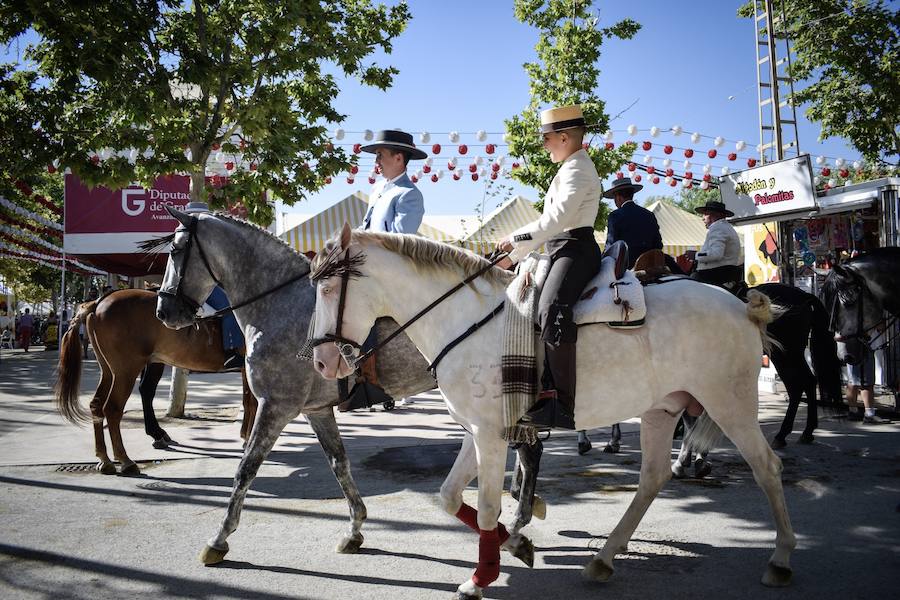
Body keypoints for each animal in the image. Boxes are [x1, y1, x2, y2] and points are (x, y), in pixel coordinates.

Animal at [55, 288, 256, 476]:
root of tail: (98, 303)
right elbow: (251, 402)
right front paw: (247, 439)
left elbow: (248, 401)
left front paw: (245, 436)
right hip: (126, 371)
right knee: (113, 408)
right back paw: (126, 460)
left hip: (110, 371)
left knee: (97, 404)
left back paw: (105, 459)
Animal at [153, 210, 540, 568]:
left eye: (175, 250)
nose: (163, 311)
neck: (281, 303)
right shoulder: (316, 410)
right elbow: (339, 463)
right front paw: (355, 528)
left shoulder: (276, 405)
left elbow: (247, 467)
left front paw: (219, 538)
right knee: (527, 450)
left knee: (528, 451)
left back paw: (520, 519)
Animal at [310, 226, 796, 600]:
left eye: (329, 289)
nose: (320, 363)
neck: (465, 320)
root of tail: (742, 307)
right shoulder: (475, 430)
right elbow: (449, 496)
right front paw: (515, 543)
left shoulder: (490, 435)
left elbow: (486, 506)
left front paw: (481, 577)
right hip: (661, 408)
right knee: (653, 477)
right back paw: (604, 558)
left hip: (728, 401)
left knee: (767, 466)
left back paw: (780, 559)